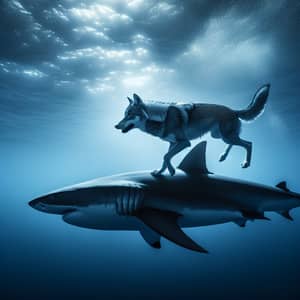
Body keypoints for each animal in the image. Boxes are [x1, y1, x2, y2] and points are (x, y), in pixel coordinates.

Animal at [114, 84, 270, 176]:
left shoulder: (184, 143)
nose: (116, 126)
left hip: (224, 136)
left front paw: (171, 170)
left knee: (249, 144)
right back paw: (223, 156)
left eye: (129, 115)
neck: (161, 118)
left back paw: (246, 163)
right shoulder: (172, 143)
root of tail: (234, 110)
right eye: (124, 114)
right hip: (219, 136)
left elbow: (166, 156)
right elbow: (166, 157)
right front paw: (160, 172)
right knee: (237, 143)